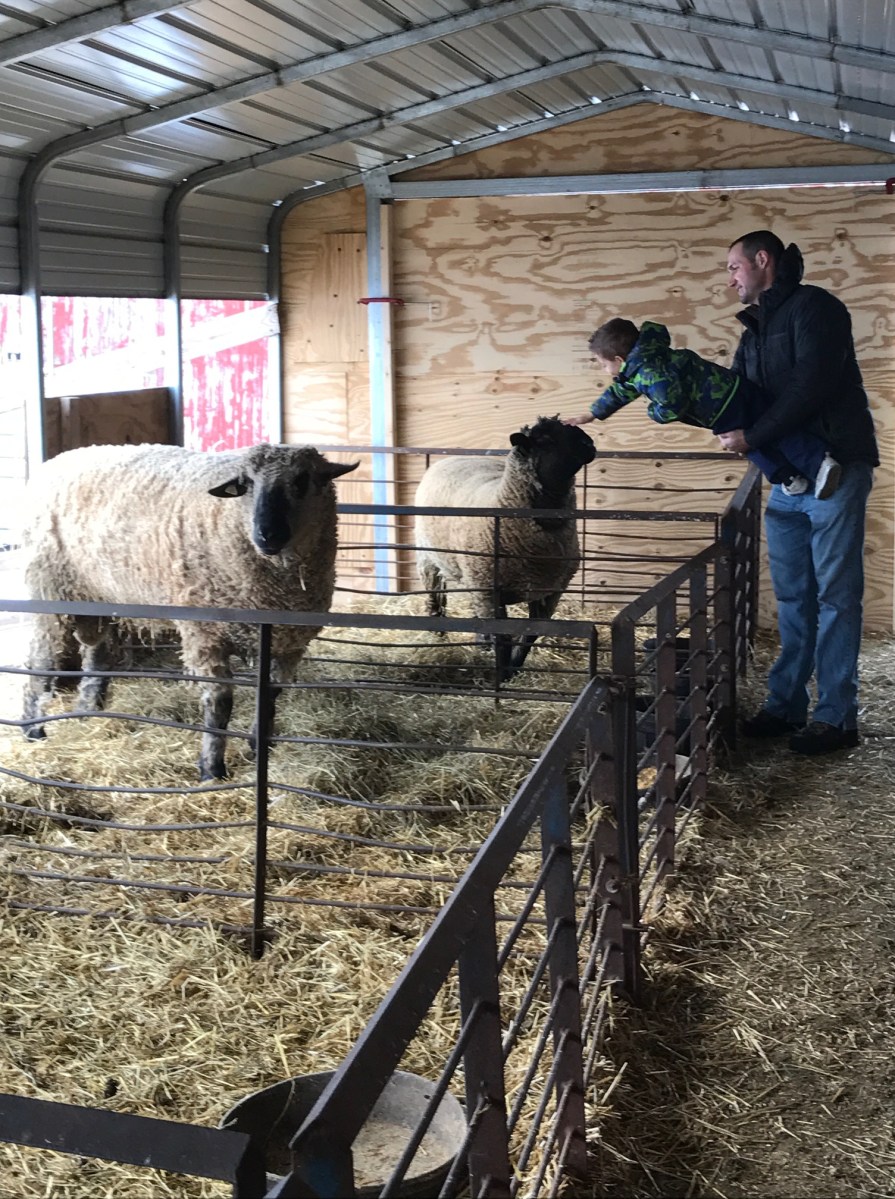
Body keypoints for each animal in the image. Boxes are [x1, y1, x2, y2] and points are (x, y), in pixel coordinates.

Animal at [20, 442, 358, 780]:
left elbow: (270, 695)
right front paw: (211, 768)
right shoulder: (204, 635)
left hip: (101, 596)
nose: (267, 534)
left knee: (97, 656)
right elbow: (219, 703)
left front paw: (258, 745)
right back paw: (32, 728)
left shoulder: (286, 642)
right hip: (49, 591)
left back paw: (88, 712)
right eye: (245, 484)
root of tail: (60, 459)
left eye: (302, 481)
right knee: (41, 660)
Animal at [414, 416, 596, 680]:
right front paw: (501, 676)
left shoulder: (549, 591)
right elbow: (504, 638)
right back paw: (437, 636)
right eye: (545, 439)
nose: (589, 444)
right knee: (434, 597)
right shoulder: (491, 590)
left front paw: (514, 668)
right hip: (429, 558)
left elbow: (529, 634)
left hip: (473, 576)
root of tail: (450, 458)